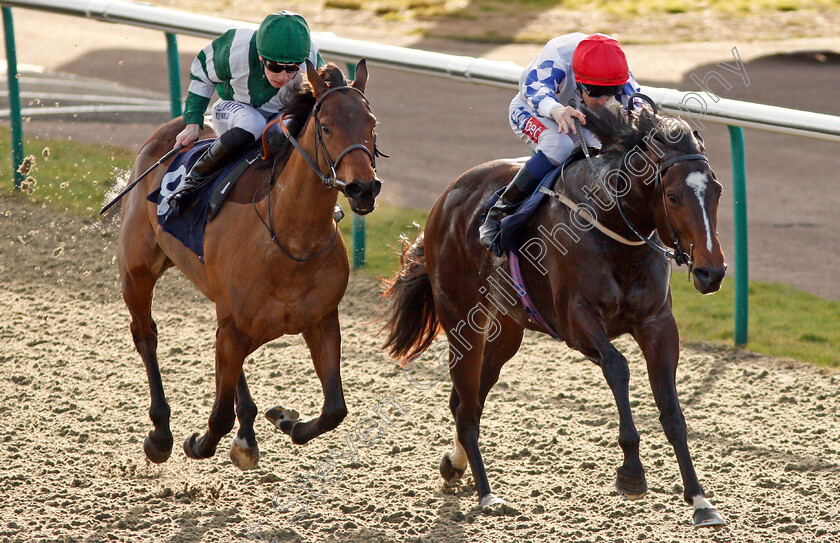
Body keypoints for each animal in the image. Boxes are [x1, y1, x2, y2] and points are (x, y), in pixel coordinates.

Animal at [118, 61, 380, 472]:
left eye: (371, 124)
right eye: (325, 127)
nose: (363, 188)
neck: (289, 239)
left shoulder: (321, 321)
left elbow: (335, 409)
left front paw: (286, 421)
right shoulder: (235, 325)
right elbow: (220, 416)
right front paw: (198, 442)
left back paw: (247, 431)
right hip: (136, 269)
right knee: (146, 334)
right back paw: (161, 433)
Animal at [382, 106, 728, 528]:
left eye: (717, 190)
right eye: (674, 196)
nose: (711, 272)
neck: (612, 224)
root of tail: (444, 200)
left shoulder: (658, 324)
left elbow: (672, 411)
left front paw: (700, 500)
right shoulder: (576, 321)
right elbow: (617, 366)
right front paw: (632, 472)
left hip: (506, 332)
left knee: (467, 398)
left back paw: (455, 464)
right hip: (463, 322)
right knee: (467, 407)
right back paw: (486, 493)